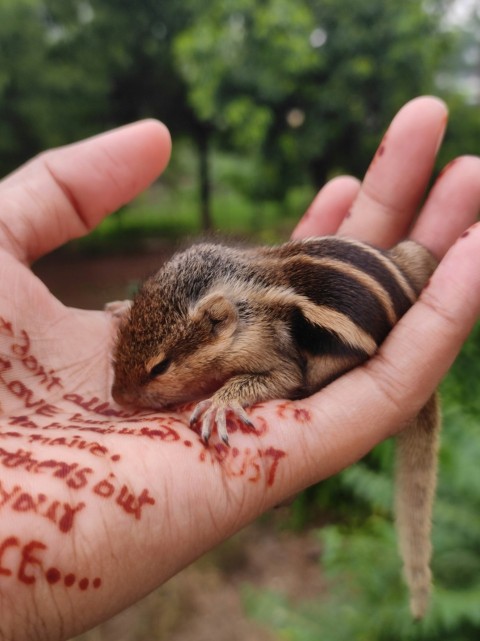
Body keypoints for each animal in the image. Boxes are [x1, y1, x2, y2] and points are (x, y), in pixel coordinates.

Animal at [111, 238, 438, 616]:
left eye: (160, 367)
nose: (116, 396)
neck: (244, 302)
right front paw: (120, 307)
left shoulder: (278, 357)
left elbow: (279, 378)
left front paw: (220, 404)